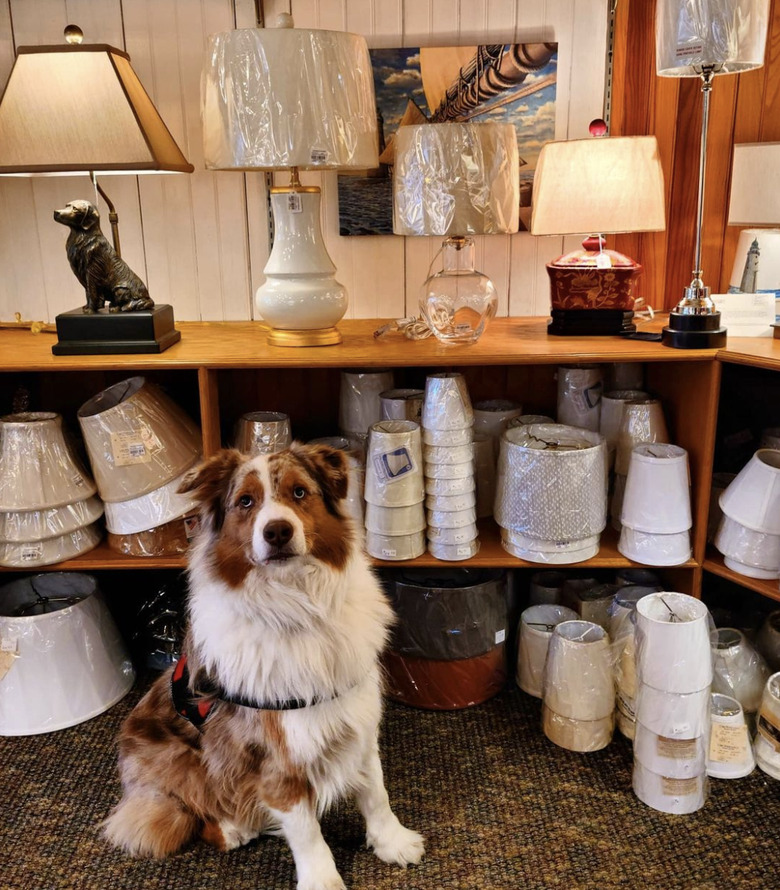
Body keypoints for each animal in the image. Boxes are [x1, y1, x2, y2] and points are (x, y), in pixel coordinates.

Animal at [103, 444, 424, 888]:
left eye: (299, 492)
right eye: (245, 502)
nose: (277, 532)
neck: (298, 607)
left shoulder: (357, 719)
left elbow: (376, 791)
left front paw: (392, 841)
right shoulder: (275, 758)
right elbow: (306, 830)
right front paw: (323, 880)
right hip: (182, 759)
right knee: (199, 813)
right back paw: (235, 827)